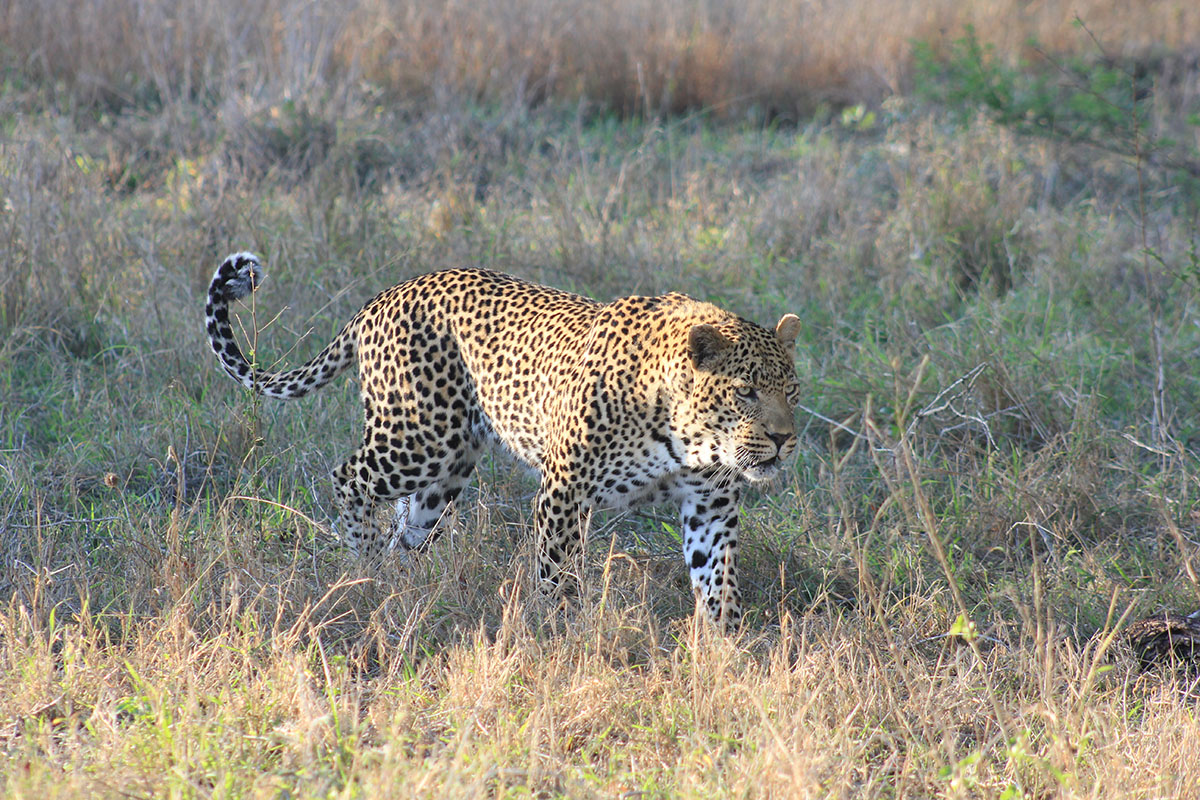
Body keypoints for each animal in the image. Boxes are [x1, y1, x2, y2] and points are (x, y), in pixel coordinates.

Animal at [207, 253, 801, 628]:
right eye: (746, 392)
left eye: (792, 389)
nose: (783, 440)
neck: (683, 432)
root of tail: (385, 296)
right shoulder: (565, 490)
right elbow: (557, 573)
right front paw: (562, 633)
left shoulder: (711, 502)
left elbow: (717, 578)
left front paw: (726, 650)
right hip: (419, 437)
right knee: (349, 478)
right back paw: (365, 568)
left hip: (447, 469)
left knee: (407, 528)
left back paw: (402, 590)